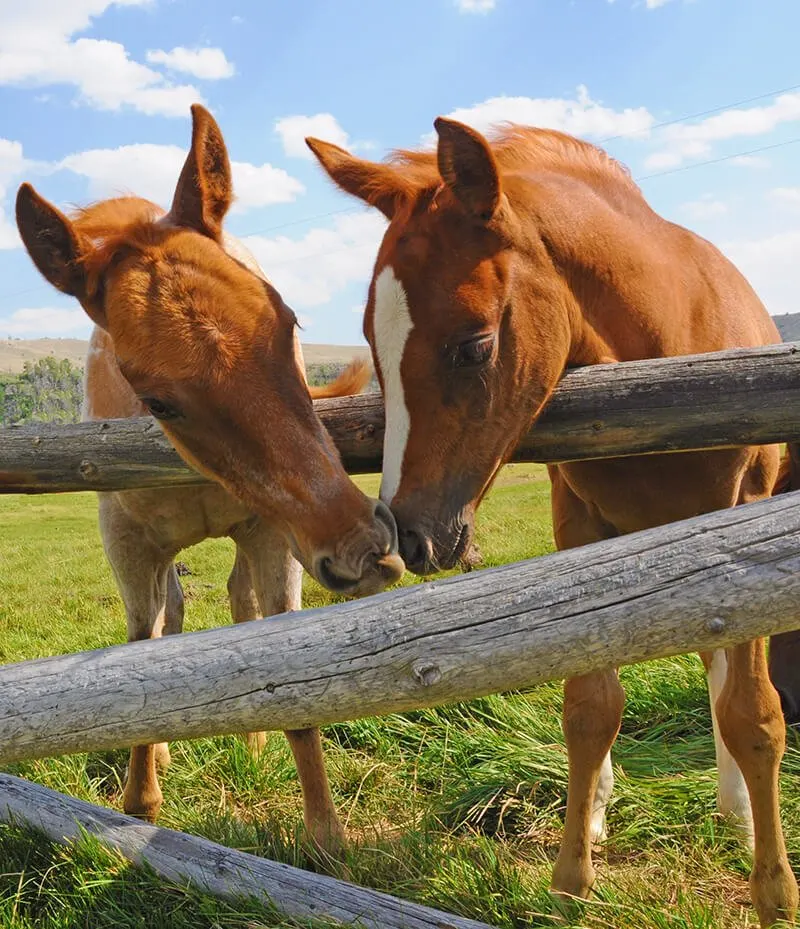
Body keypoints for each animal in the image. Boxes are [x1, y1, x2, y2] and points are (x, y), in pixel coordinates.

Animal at [17, 103, 406, 856]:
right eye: (158, 398)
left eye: (289, 319)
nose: (363, 549)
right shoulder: (127, 543)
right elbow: (142, 648)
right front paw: (140, 802)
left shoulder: (272, 535)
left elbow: (287, 665)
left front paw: (326, 839)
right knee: (173, 615)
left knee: (236, 604)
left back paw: (250, 740)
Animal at [308, 119, 800, 924]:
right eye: (371, 344)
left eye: (474, 345)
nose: (411, 534)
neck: (669, 354)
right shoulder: (580, 526)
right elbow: (589, 707)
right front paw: (573, 874)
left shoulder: (745, 527)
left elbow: (754, 714)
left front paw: (773, 891)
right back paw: (599, 803)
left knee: (721, 668)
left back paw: (734, 807)